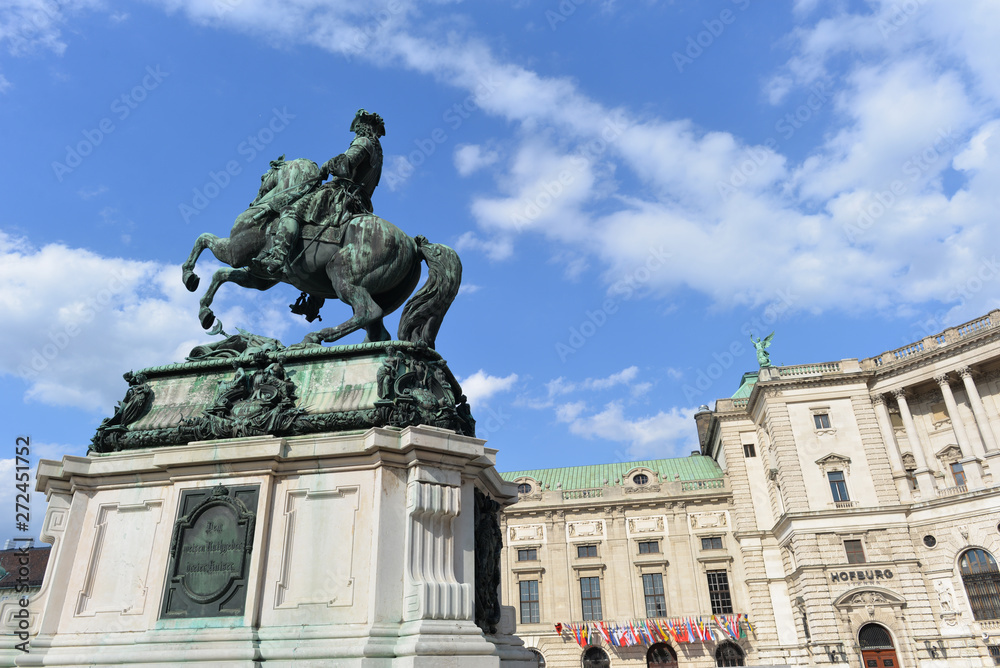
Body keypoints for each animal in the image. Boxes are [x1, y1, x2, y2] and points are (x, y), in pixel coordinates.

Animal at [181, 156, 460, 344]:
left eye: (262, 178)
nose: (253, 202)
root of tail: (412, 243)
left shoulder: (234, 252)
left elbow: (203, 240)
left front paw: (189, 276)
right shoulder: (258, 277)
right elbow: (221, 275)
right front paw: (205, 313)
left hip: (342, 273)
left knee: (367, 311)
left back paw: (316, 337)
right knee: (377, 327)